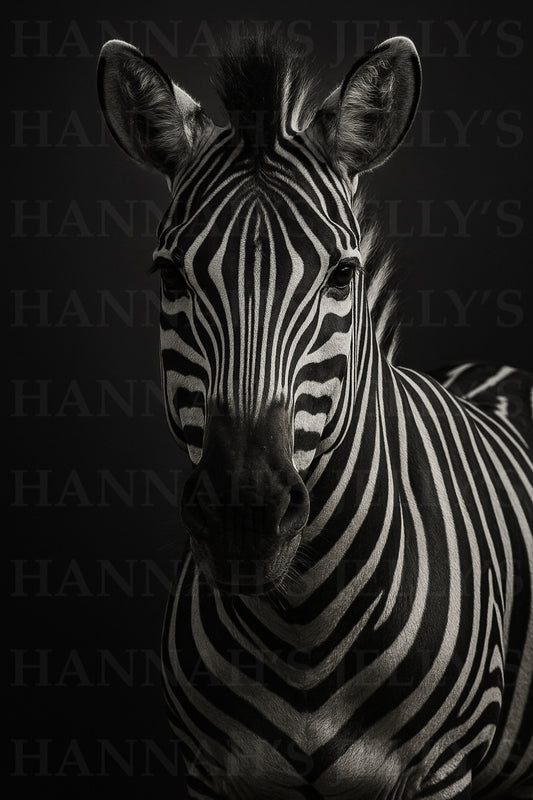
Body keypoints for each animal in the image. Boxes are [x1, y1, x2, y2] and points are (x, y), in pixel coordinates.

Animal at [97, 30, 533, 800]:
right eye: (170, 276)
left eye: (342, 275)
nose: (244, 518)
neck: (302, 620)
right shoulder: (208, 773)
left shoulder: (445, 769)